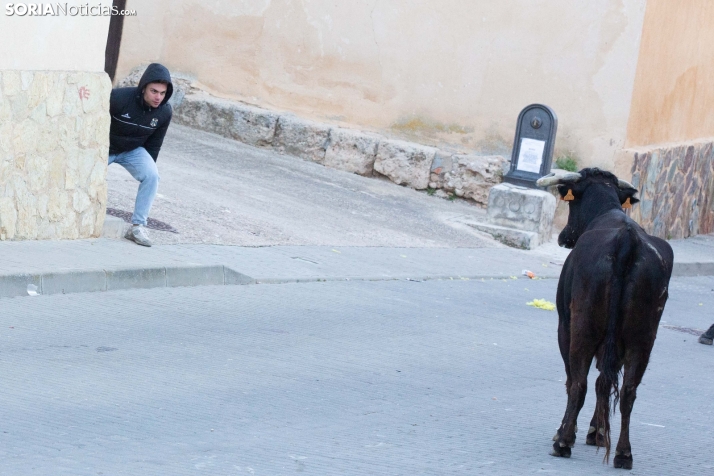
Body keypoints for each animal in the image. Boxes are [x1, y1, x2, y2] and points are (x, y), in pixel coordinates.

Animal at [536, 167, 672, 468]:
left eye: (571, 203)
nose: (563, 237)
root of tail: (627, 241)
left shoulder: (565, 325)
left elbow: (575, 380)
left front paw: (571, 431)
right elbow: (605, 382)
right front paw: (596, 432)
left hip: (582, 329)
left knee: (579, 383)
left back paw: (563, 441)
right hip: (642, 338)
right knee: (627, 392)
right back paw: (623, 453)